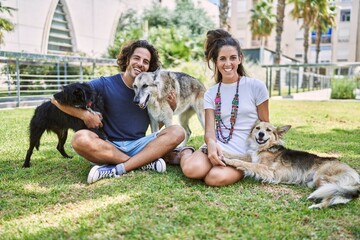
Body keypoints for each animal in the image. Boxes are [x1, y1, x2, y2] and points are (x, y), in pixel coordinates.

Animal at [224, 122, 358, 208]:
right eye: (257, 128)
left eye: (268, 130)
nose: (261, 134)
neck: (265, 148)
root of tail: (355, 175)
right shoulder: (252, 158)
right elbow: (238, 156)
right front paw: (223, 153)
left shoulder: (268, 171)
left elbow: (245, 163)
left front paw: (228, 160)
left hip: (323, 177)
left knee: (334, 195)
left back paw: (318, 206)